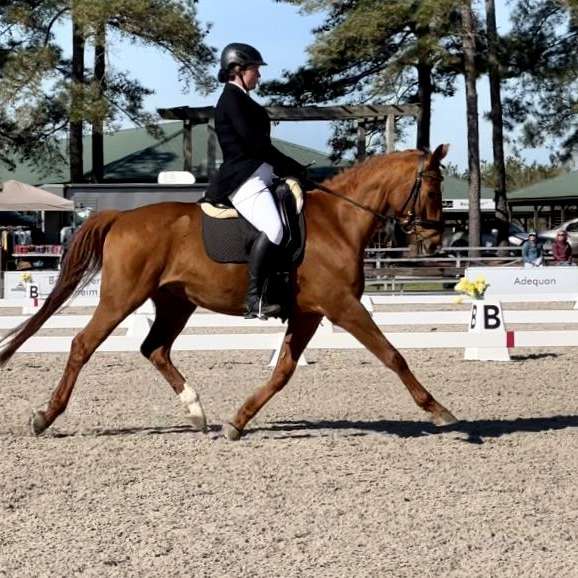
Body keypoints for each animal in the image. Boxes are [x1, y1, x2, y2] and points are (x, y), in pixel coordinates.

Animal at [2, 144, 456, 436]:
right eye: (433, 188)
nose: (435, 243)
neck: (339, 221)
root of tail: (122, 217)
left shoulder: (309, 313)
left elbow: (283, 371)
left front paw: (238, 420)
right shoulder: (343, 306)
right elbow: (393, 356)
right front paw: (439, 410)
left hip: (175, 302)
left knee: (155, 349)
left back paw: (195, 411)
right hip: (121, 297)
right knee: (83, 344)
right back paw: (45, 416)